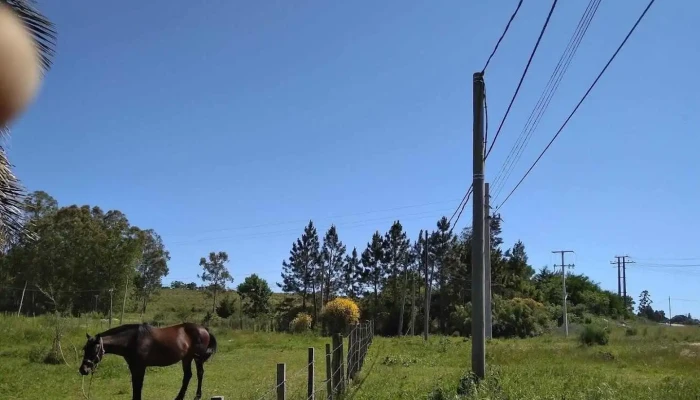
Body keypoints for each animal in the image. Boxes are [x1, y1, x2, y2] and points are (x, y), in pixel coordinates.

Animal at [80, 322, 216, 400]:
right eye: (84, 348)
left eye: (95, 349)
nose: (83, 370)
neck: (133, 340)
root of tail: (204, 329)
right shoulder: (133, 367)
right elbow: (136, 386)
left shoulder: (140, 367)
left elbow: (138, 386)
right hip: (186, 358)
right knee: (188, 376)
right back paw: (179, 397)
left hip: (197, 358)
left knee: (200, 374)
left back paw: (197, 396)